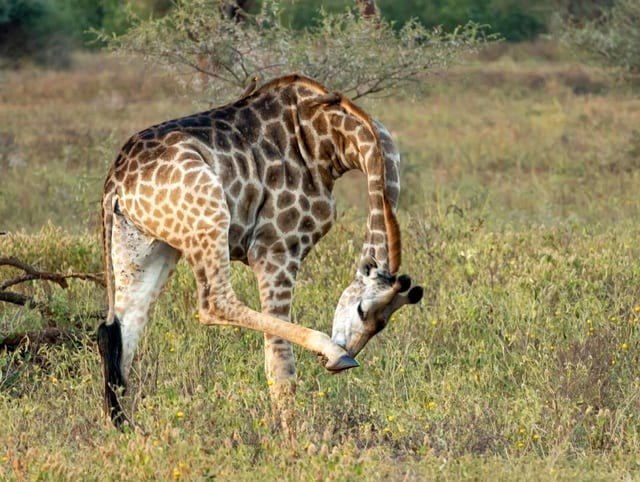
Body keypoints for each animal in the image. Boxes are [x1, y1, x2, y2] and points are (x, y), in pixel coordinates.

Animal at [97, 74, 423, 429]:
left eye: (382, 324)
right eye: (363, 310)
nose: (347, 354)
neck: (334, 139)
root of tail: (117, 182)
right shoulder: (277, 248)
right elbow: (280, 365)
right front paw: (294, 437)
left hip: (148, 245)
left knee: (119, 332)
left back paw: (127, 429)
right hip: (209, 218)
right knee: (214, 303)